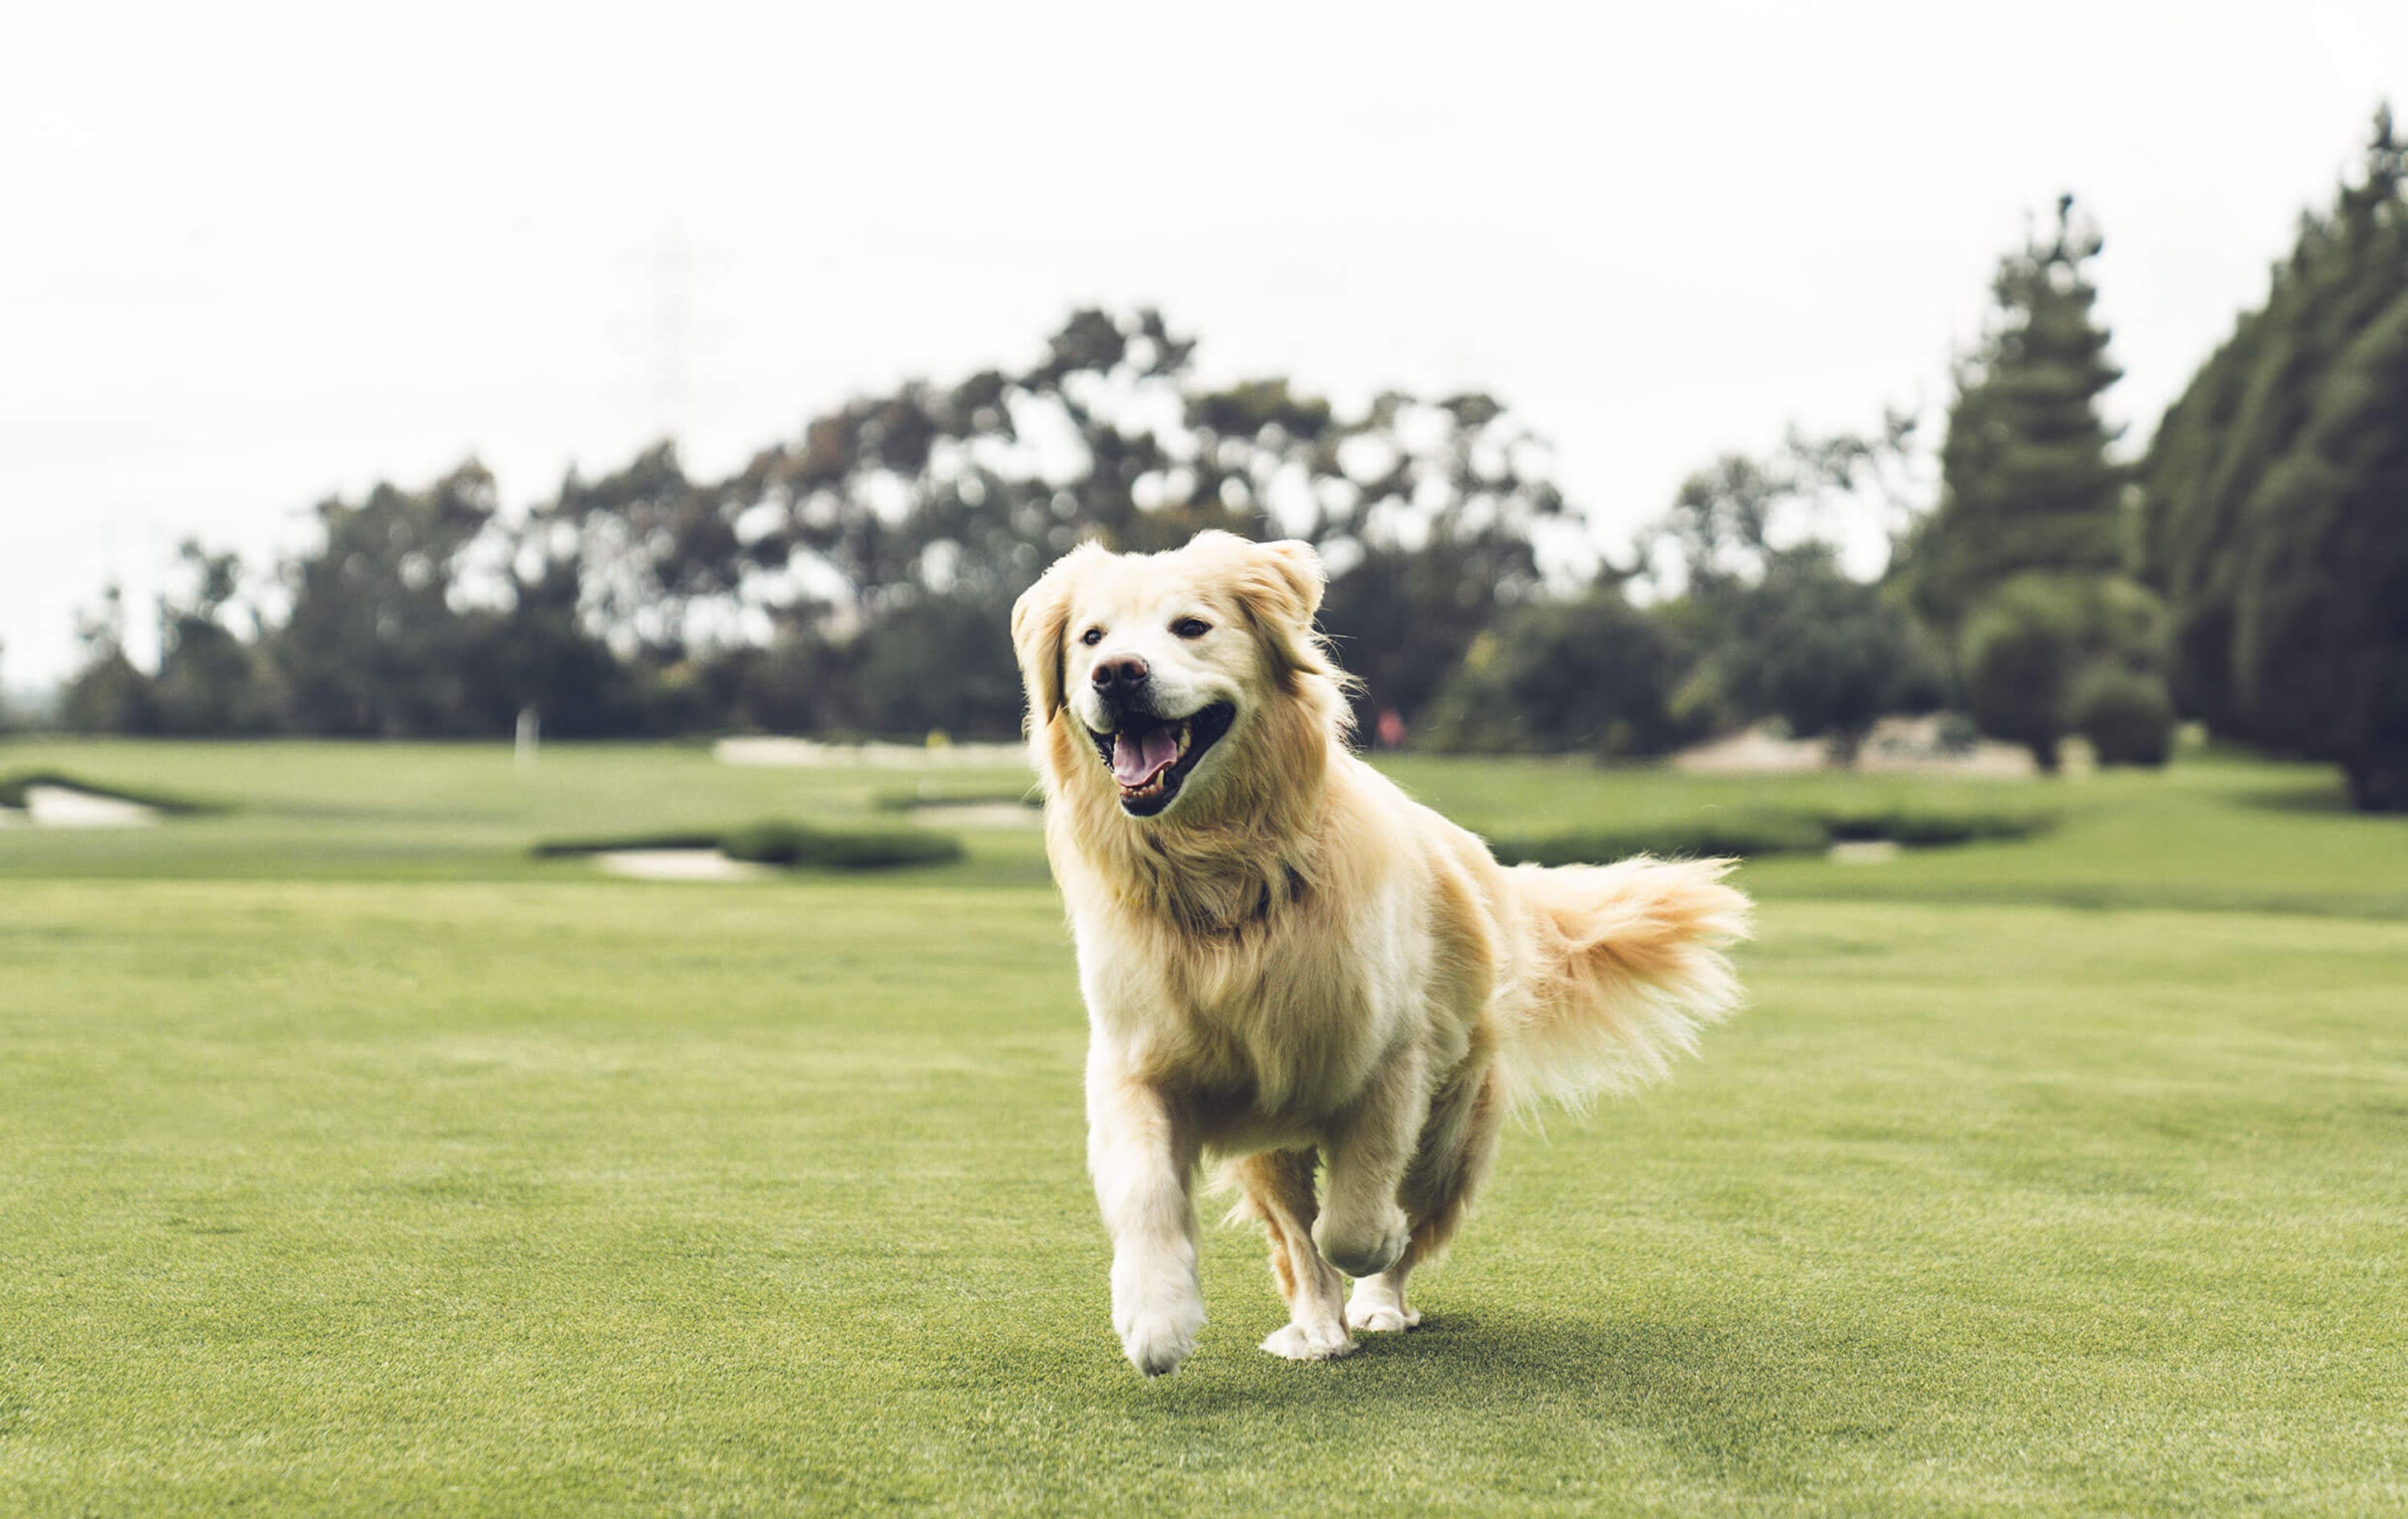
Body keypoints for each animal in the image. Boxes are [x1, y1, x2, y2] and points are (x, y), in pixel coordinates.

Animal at [1002, 534, 1753, 1377]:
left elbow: (1358, 1222)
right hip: (1273, 1144)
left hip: (1452, 1120)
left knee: (1394, 1217)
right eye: (1090, 639)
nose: (1117, 673)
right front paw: (1154, 1315)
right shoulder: (1138, 1063)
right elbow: (1148, 1192)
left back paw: (1379, 1305)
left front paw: (1378, 1248)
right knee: (1297, 1237)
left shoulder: (1387, 1068)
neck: (1227, 883)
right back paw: (1316, 1328)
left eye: (1191, 627)